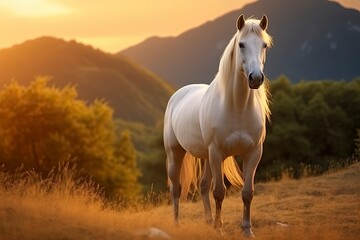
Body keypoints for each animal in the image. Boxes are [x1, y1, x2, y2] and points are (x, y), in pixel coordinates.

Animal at [165, 15, 272, 238]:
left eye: (264, 45)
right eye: (241, 44)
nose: (256, 78)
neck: (237, 107)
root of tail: (178, 94)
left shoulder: (253, 153)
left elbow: (247, 193)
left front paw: (247, 230)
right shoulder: (217, 153)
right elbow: (219, 192)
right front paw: (219, 229)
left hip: (206, 157)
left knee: (204, 186)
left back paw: (207, 221)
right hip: (175, 154)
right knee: (176, 188)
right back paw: (177, 223)